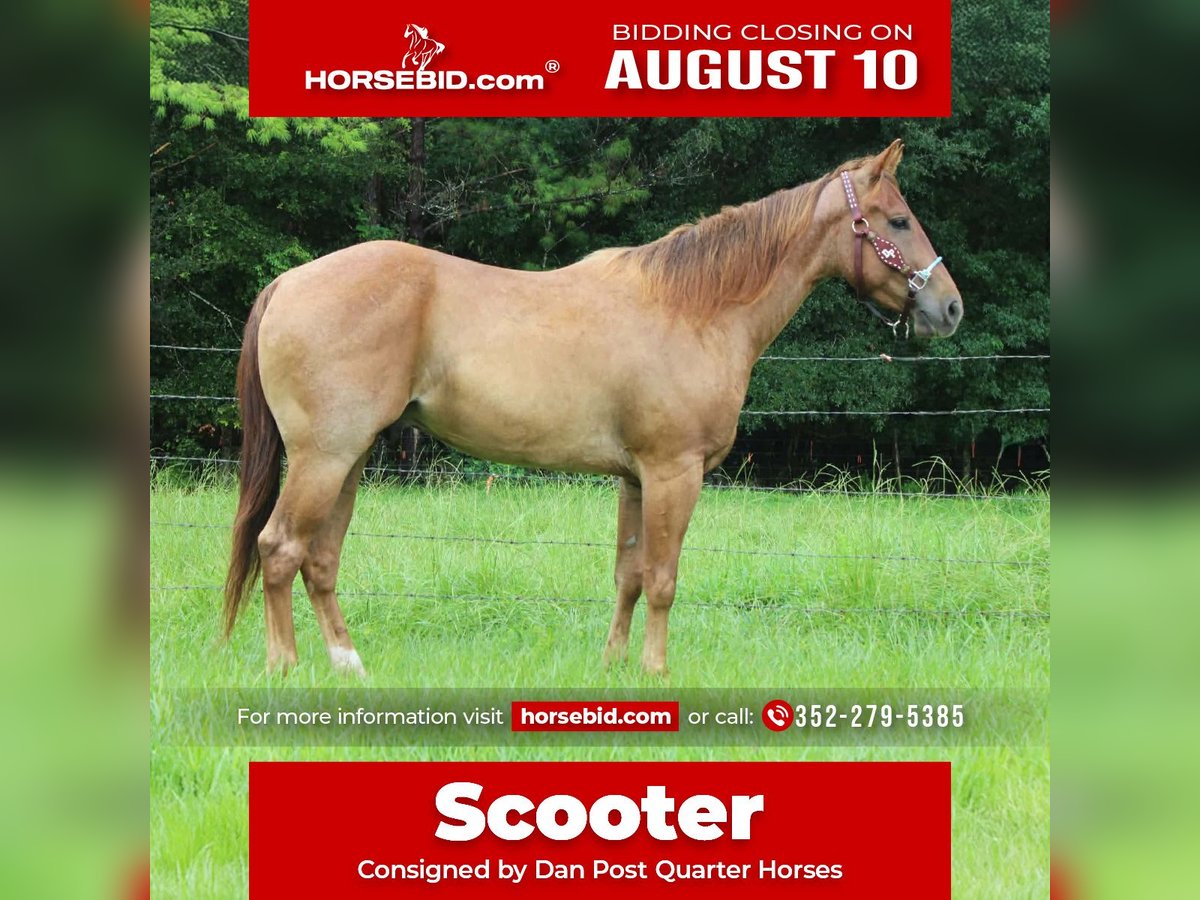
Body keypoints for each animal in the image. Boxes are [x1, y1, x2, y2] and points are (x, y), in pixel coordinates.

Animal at [222, 139, 962, 676]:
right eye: (898, 220)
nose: (949, 307)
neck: (694, 308)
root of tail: (290, 281)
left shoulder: (636, 479)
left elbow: (628, 577)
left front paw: (613, 666)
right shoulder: (672, 472)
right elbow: (662, 578)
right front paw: (657, 671)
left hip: (350, 458)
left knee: (320, 559)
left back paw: (347, 664)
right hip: (325, 457)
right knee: (279, 549)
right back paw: (284, 666)